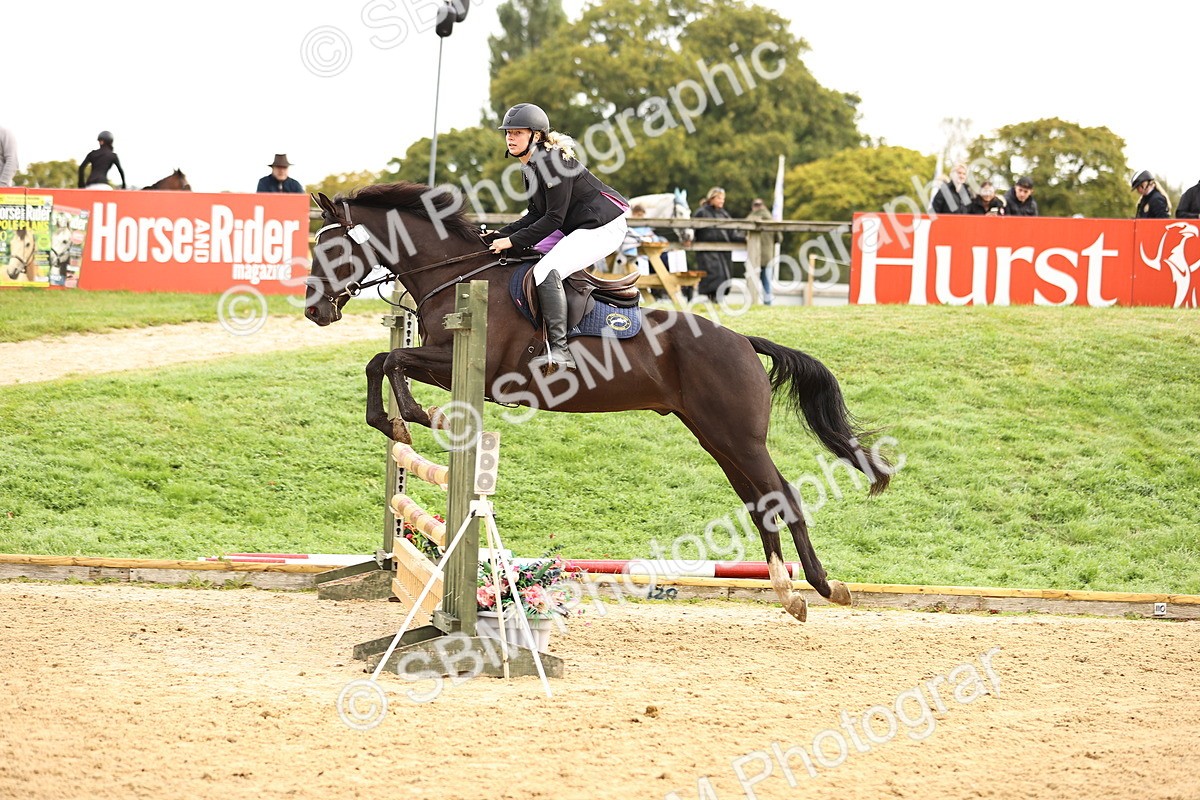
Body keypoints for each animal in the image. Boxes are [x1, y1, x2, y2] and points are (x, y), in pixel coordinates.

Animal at [305, 182, 892, 623]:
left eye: (333, 250)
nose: (314, 312)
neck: (456, 273)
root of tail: (744, 342)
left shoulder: (472, 366)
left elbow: (390, 360)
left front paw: (411, 418)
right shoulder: (445, 363)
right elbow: (381, 361)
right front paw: (396, 422)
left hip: (739, 437)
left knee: (783, 495)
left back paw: (823, 587)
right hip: (716, 437)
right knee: (761, 502)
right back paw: (788, 594)